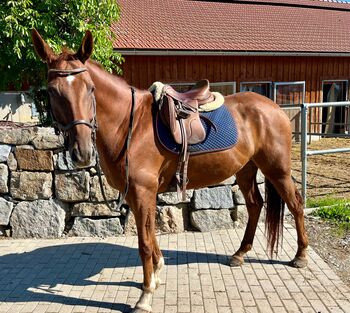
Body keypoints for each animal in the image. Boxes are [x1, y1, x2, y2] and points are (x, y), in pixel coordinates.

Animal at [31, 29, 308, 312]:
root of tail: (274, 108)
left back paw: (300, 256)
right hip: (245, 169)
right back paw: (240, 253)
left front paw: (145, 296)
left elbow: (143, 242)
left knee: (296, 204)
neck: (129, 126)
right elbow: (151, 234)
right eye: (52, 91)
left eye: (90, 88)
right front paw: (156, 274)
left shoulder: (143, 191)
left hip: (277, 169)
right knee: (254, 205)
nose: (83, 152)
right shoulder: (138, 194)